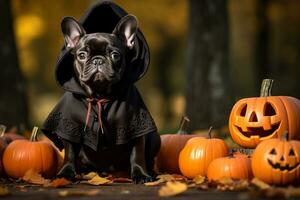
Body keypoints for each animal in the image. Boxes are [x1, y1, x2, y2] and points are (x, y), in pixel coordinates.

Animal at [42, 1, 161, 184]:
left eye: (115, 55)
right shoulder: (68, 126)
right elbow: (69, 153)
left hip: (155, 138)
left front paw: (141, 174)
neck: (99, 95)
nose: (98, 60)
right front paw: (65, 173)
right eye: (82, 55)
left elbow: (137, 153)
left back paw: (151, 172)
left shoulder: (135, 125)